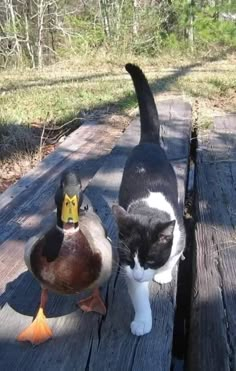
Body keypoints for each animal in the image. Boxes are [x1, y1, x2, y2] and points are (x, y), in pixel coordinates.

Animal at [113, 64, 186, 338]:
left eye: (150, 261)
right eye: (128, 259)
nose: (138, 273)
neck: (148, 208)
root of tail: (148, 143)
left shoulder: (180, 232)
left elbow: (174, 256)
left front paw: (163, 274)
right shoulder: (128, 272)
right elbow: (138, 295)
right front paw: (143, 321)